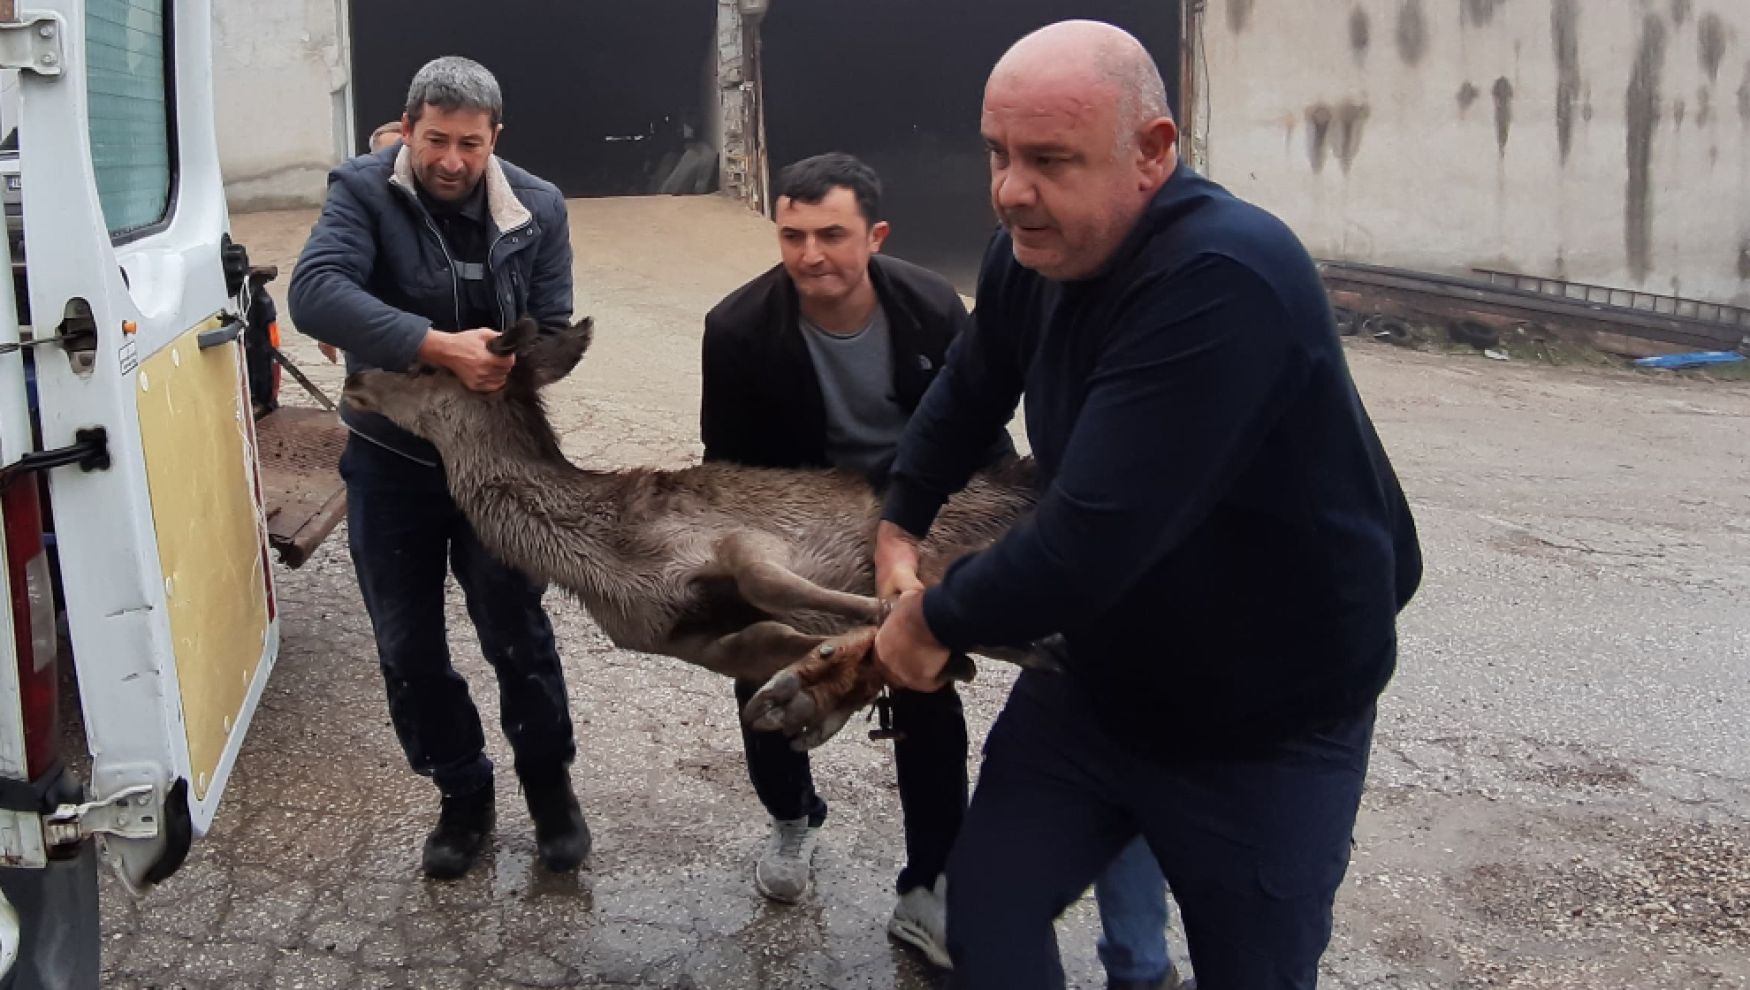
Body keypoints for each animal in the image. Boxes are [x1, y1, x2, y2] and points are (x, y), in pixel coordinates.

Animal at [339, 318, 1050, 752]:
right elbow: (769, 638)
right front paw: (824, 678)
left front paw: (875, 615)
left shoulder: (744, 535)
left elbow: (770, 582)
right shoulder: (680, 639)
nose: (354, 378)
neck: (609, 559)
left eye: (428, 366)